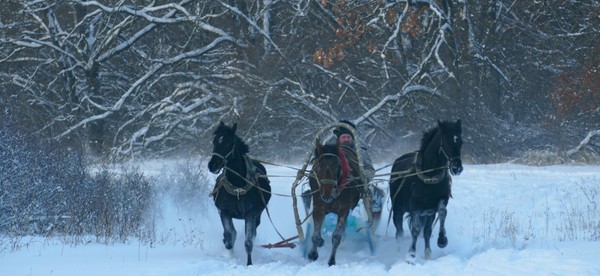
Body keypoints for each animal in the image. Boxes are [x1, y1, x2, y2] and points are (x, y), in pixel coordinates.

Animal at [207, 122, 270, 266]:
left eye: (228, 143)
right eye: (214, 141)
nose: (212, 165)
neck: (237, 187)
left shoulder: (250, 213)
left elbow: (248, 241)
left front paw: (249, 263)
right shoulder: (224, 212)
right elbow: (230, 236)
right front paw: (229, 252)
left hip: (258, 215)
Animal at [390, 119, 464, 264]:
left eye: (461, 142)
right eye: (446, 141)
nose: (457, 168)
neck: (430, 178)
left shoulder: (434, 208)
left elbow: (437, 220)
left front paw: (440, 242)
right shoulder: (415, 208)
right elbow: (415, 230)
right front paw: (411, 254)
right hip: (398, 210)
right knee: (399, 231)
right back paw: (398, 250)